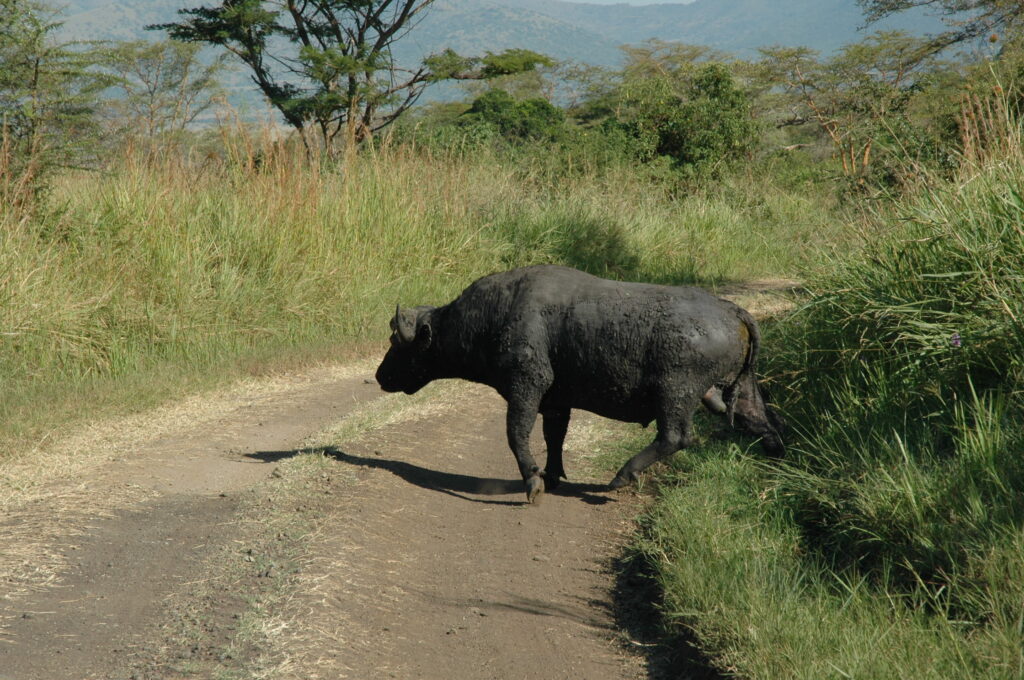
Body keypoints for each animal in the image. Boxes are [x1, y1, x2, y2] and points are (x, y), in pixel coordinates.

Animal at [375, 265, 784, 503]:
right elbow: (554, 436)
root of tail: (732, 309)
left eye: (397, 342)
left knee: (676, 437)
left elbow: (516, 434)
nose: (380, 376)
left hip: (675, 393)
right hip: (740, 393)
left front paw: (533, 481)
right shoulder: (556, 402)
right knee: (765, 425)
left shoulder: (528, 385)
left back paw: (622, 475)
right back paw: (779, 468)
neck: (497, 313)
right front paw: (552, 474)